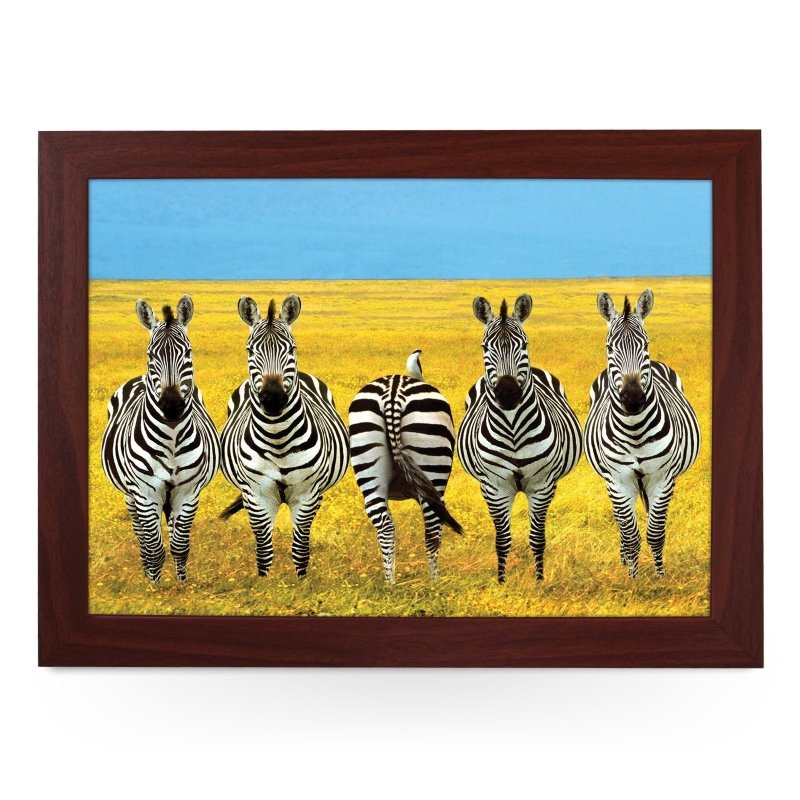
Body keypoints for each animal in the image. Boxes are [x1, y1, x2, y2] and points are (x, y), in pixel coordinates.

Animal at [100, 296, 220, 583]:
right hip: (131, 495)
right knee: (142, 536)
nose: (172, 405)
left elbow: (179, 544)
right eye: (151, 355)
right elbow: (154, 547)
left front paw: (181, 584)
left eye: (188, 353)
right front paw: (153, 585)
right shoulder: (145, 492)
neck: (172, 439)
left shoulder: (188, 492)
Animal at [219, 294, 349, 577]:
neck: (278, 438)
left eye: (291, 348)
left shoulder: (307, 495)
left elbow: (300, 548)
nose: (273, 398)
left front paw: (301, 582)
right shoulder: (257, 495)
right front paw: (264, 583)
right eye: (250, 351)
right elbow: (263, 550)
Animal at [349, 349, 463, 583]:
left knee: (386, 527)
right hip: (433, 468)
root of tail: (393, 390)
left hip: (367, 461)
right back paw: (434, 584)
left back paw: (390, 584)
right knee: (432, 530)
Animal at [457, 295, 582, 583]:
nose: (508, 393)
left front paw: (539, 580)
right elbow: (502, 540)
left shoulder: (542, 485)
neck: (513, 429)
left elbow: (537, 538)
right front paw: (502, 581)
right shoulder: (494, 487)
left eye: (524, 344)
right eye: (485, 347)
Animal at [584, 289, 701, 577]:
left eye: (645, 344)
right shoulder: (618, 479)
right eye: (609, 347)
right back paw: (624, 559)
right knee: (621, 524)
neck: (634, 429)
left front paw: (659, 576)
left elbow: (655, 533)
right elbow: (630, 534)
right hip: (612, 482)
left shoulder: (663, 477)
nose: (634, 398)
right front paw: (633, 577)